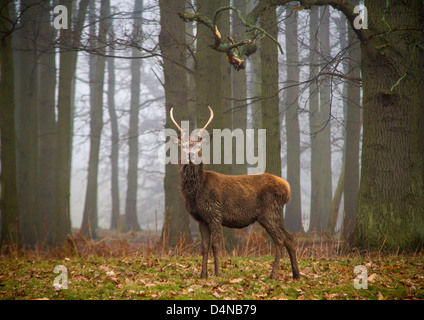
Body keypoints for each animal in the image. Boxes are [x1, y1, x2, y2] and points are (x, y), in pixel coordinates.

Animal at [170, 106, 302, 278]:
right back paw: (296, 274)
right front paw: (203, 274)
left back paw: (273, 274)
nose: (191, 155)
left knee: (280, 239)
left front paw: (217, 273)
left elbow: (216, 244)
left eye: (199, 147)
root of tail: (287, 189)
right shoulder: (201, 219)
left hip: (268, 211)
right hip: (275, 213)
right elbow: (204, 246)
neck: (196, 194)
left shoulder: (215, 213)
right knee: (289, 237)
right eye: (184, 146)